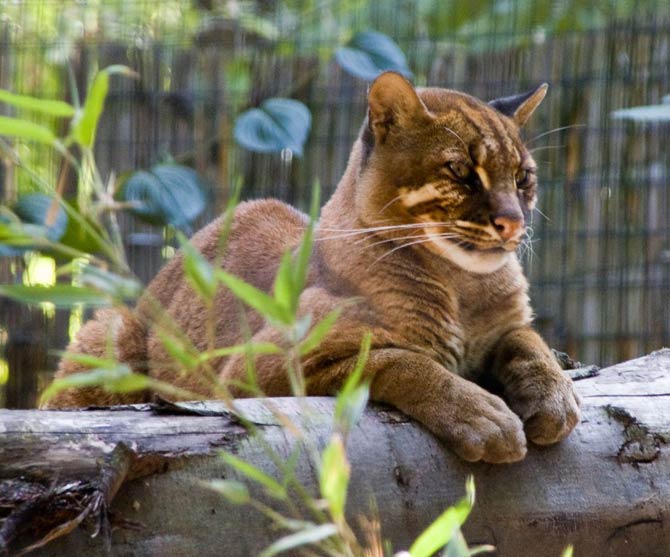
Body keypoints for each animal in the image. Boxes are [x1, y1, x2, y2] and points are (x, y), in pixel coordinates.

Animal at [47, 71, 584, 462]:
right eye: (460, 172)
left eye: (523, 177)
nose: (512, 222)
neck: (461, 286)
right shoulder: (254, 371)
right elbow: (392, 359)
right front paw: (482, 416)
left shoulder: (504, 326)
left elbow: (529, 339)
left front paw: (555, 396)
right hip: (111, 331)